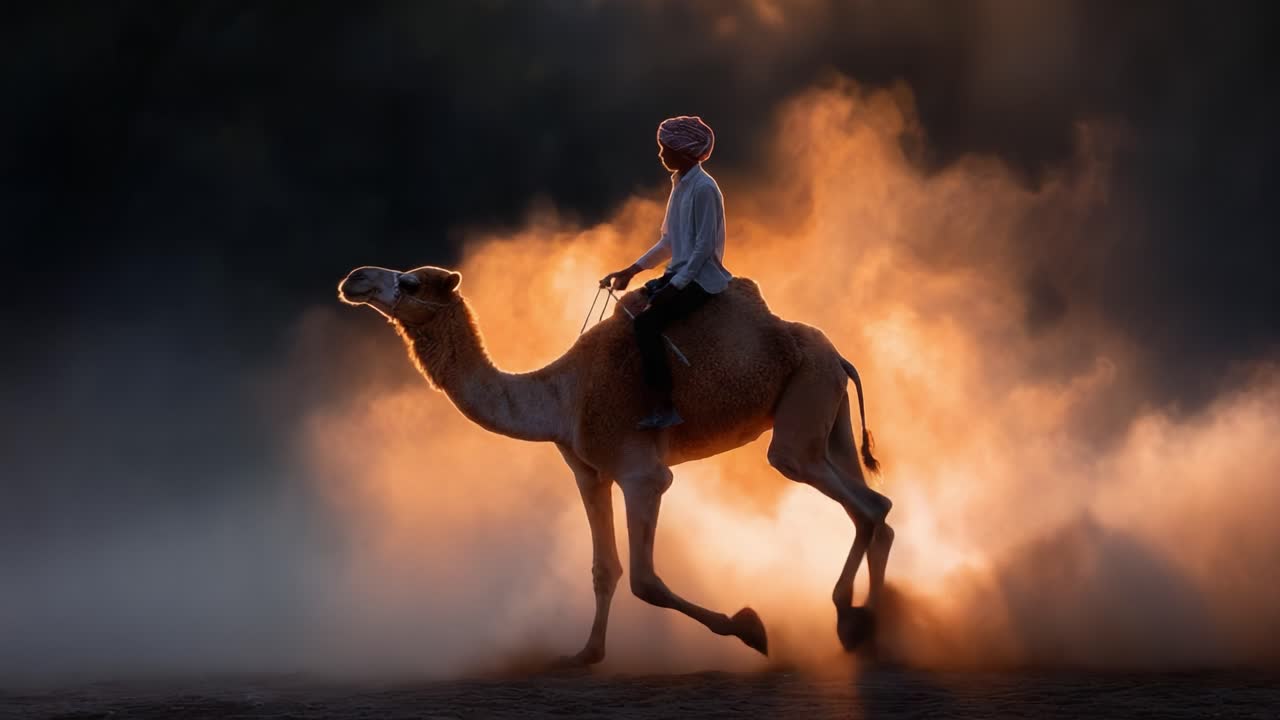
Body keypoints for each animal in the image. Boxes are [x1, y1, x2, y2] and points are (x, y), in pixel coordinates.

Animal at [338, 264, 895, 664]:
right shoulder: (588, 473)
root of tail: (840, 356)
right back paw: (865, 618)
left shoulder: (642, 475)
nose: (354, 278)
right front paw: (586, 652)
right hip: (828, 411)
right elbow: (604, 568)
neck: (563, 397)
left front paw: (749, 627)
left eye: (410, 281)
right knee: (871, 507)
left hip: (806, 399)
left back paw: (857, 621)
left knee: (858, 500)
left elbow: (644, 579)